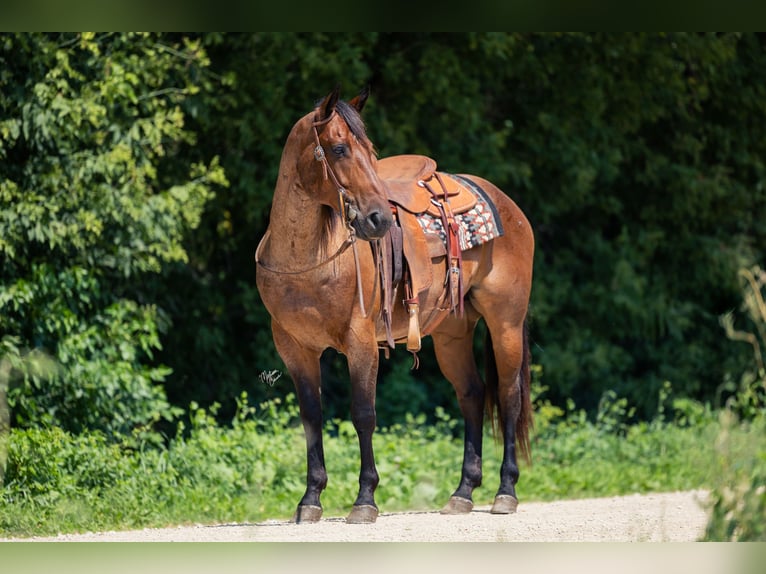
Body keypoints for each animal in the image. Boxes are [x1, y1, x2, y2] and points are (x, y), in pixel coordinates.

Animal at [255, 86, 534, 524]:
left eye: (371, 152)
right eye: (338, 148)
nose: (378, 219)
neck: (306, 260)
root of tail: (506, 203)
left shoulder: (361, 342)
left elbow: (363, 414)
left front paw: (365, 499)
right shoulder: (295, 348)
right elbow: (311, 418)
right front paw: (310, 499)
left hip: (505, 323)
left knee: (508, 395)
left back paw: (505, 492)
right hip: (452, 334)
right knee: (472, 394)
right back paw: (463, 492)